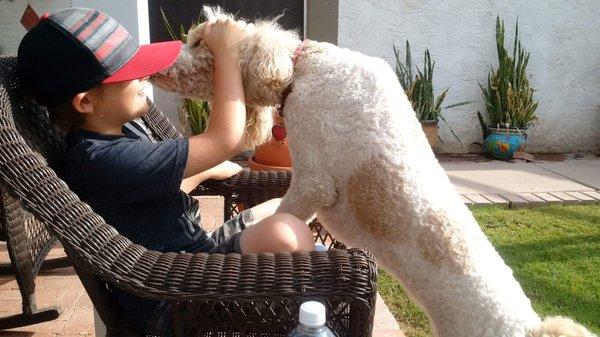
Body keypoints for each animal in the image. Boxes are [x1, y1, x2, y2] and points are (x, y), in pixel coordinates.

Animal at [150, 5, 596, 336]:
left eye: (199, 42)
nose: (157, 63)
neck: (301, 67)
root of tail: (530, 326)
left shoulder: (313, 181)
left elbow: (287, 212)